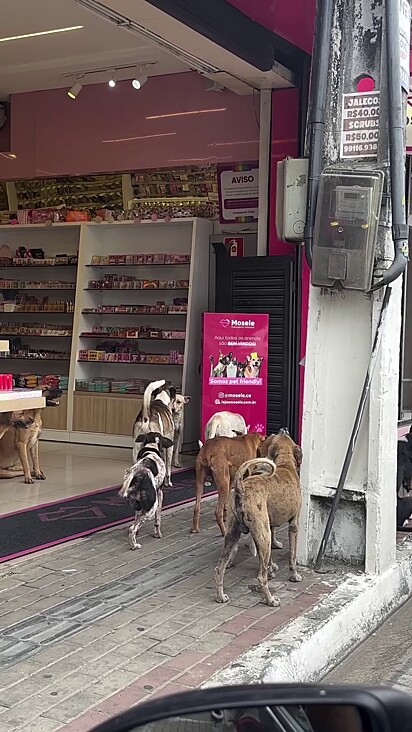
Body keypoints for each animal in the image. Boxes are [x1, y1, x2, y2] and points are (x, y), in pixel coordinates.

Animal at [216, 428, 302, 608]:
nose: (284, 428)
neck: (285, 464)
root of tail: (241, 489)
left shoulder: (269, 525)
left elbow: (268, 560)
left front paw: (272, 569)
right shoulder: (294, 524)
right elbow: (292, 555)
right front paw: (294, 576)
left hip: (233, 534)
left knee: (219, 568)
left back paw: (220, 596)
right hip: (263, 536)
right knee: (261, 578)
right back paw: (270, 599)